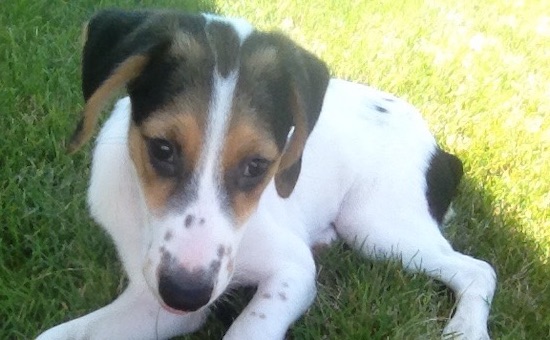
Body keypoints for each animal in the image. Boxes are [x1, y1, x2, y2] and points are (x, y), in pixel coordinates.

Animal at [36, 9, 498, 340]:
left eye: (257, 165)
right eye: (162, 149)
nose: (186, 294)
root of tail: (440, 146)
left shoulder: (292, 270)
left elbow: (248, 329)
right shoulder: (157, 300)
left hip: (377, 227)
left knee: (479, 270)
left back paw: (466, 330)